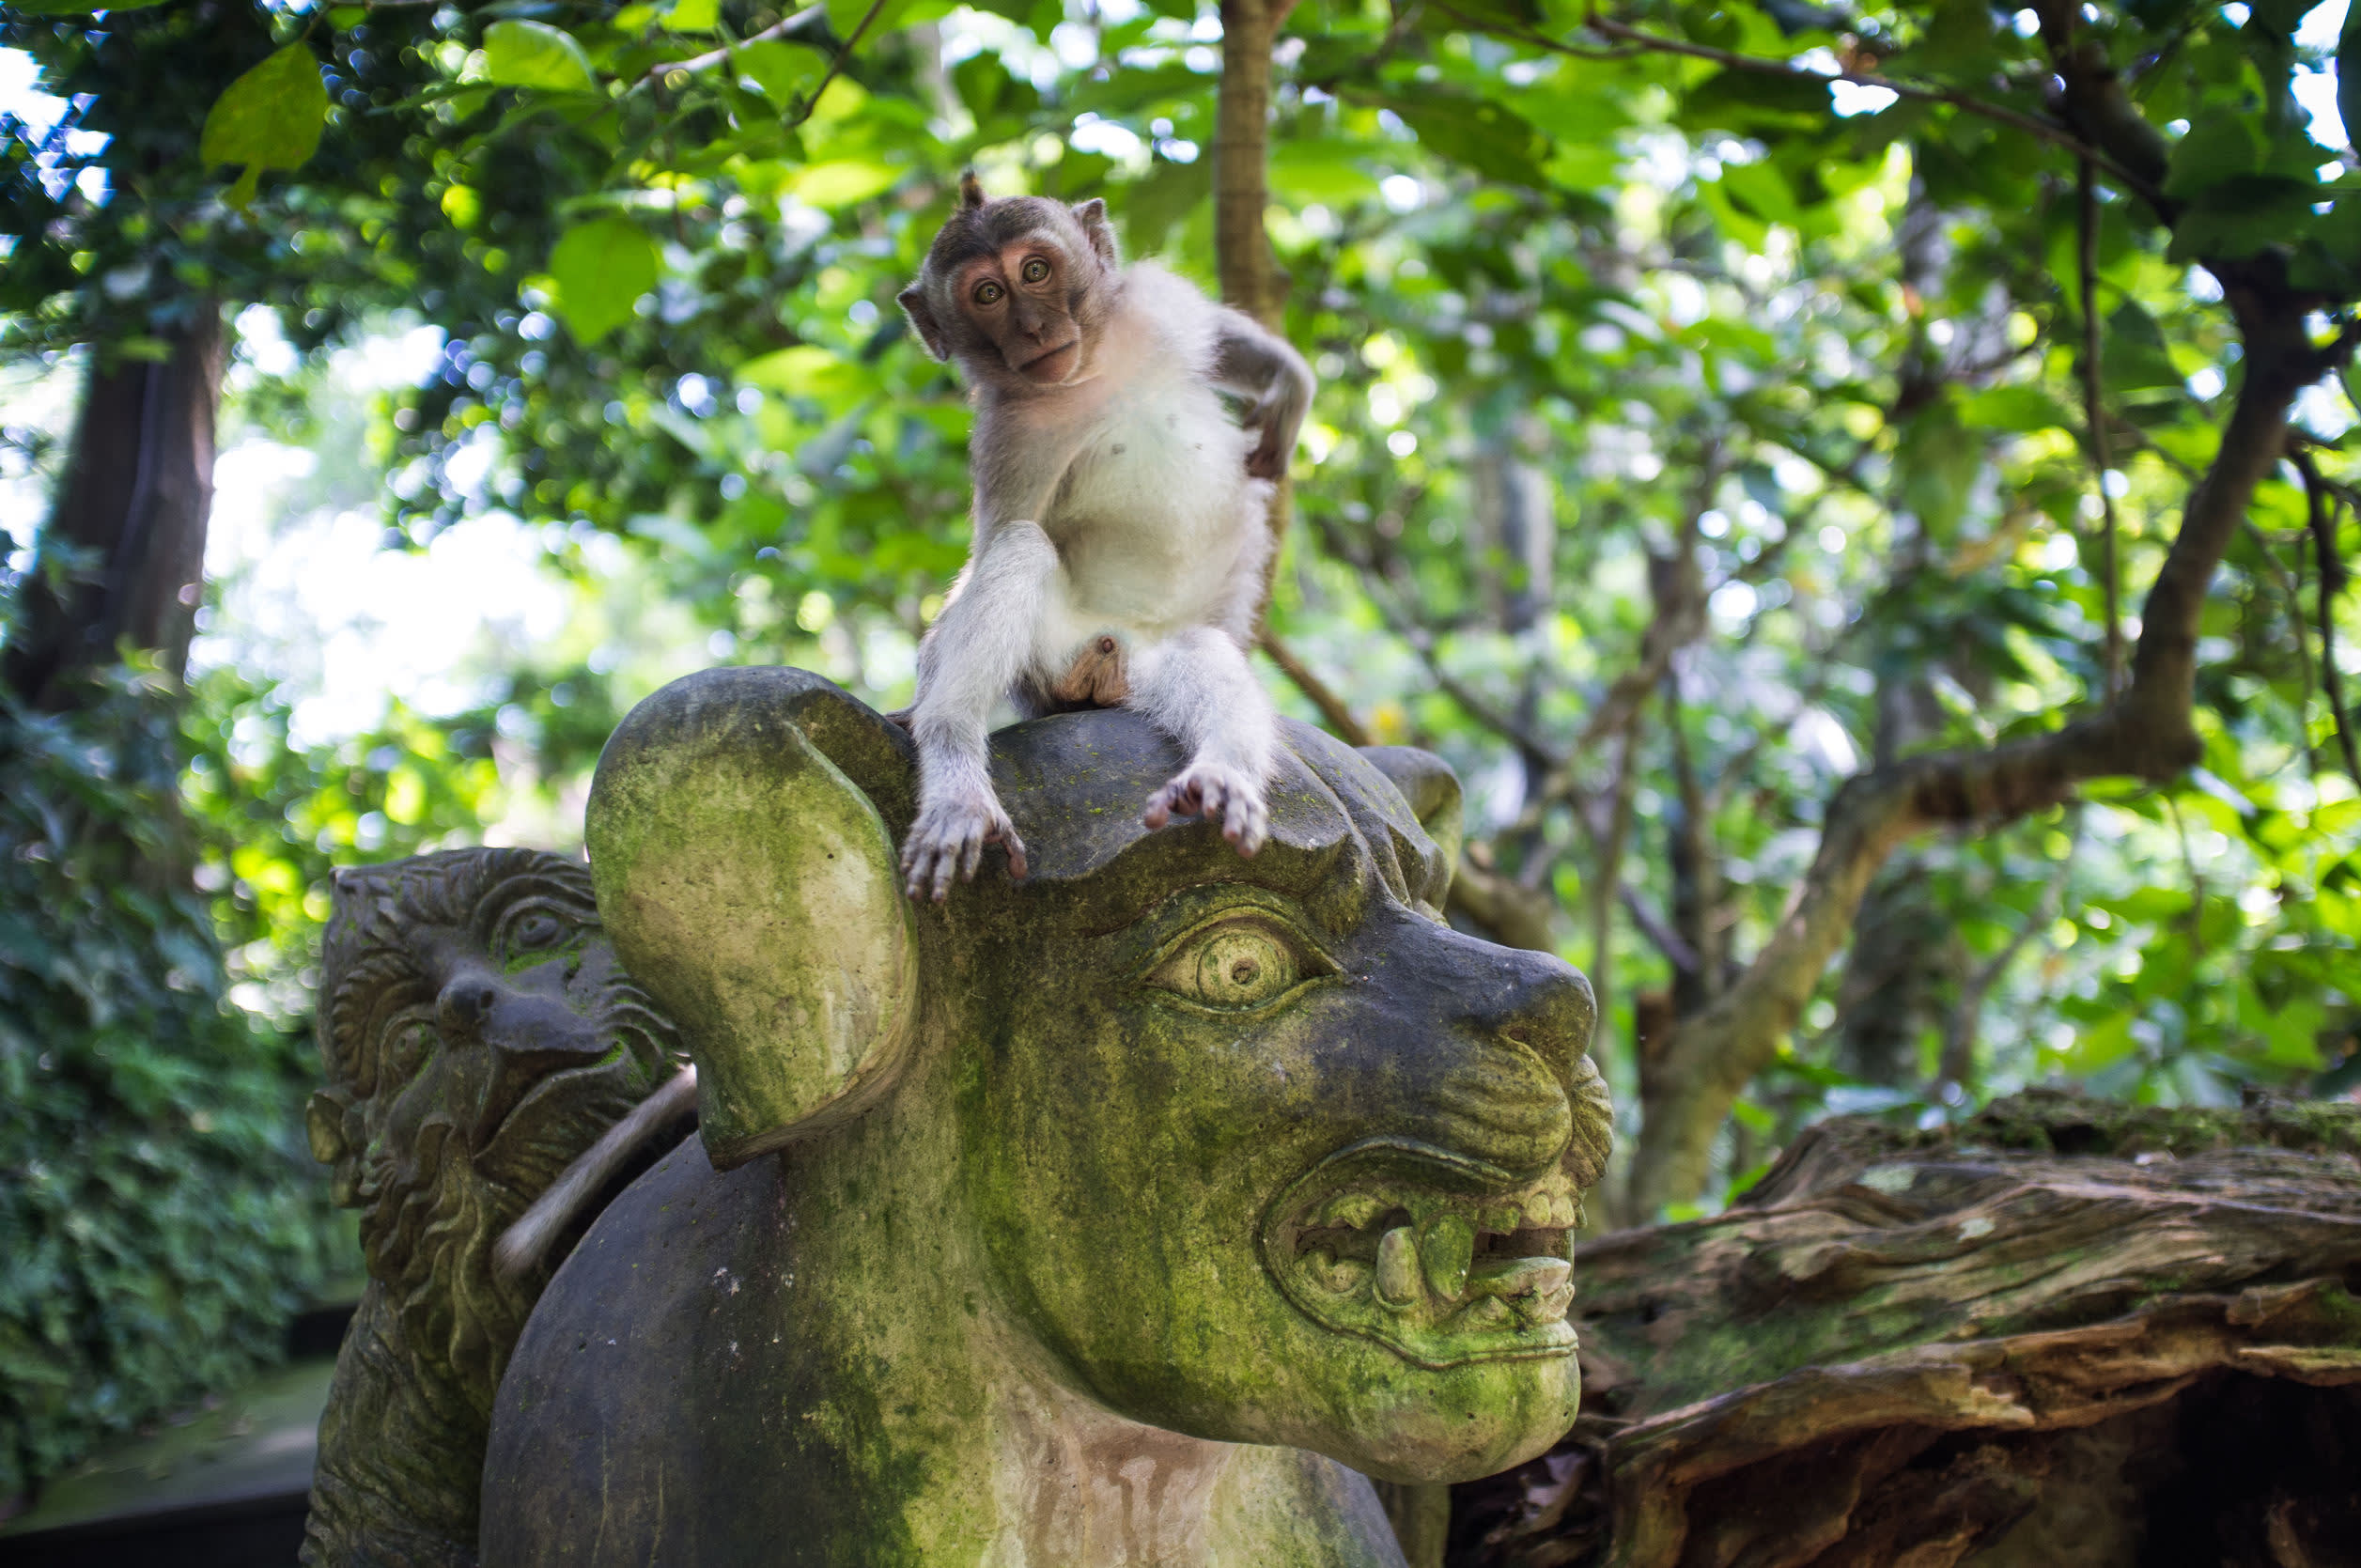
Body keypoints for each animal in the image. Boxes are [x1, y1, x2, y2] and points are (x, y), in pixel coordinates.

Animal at [892, 168, 1322, 907]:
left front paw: (1288, 383)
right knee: (1020, 549)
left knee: (1202, 652)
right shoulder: (1012, 441)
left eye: (1035, 271)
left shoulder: (1152, 306)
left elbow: (1220, 333)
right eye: (987, 294)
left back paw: (1218, 776)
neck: (1092, 371)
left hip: (1147, 666)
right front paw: (933, 735)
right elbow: (985, 557)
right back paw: (958, 774)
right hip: (1048, 661)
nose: (1033, 327)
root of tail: (1105, 658)